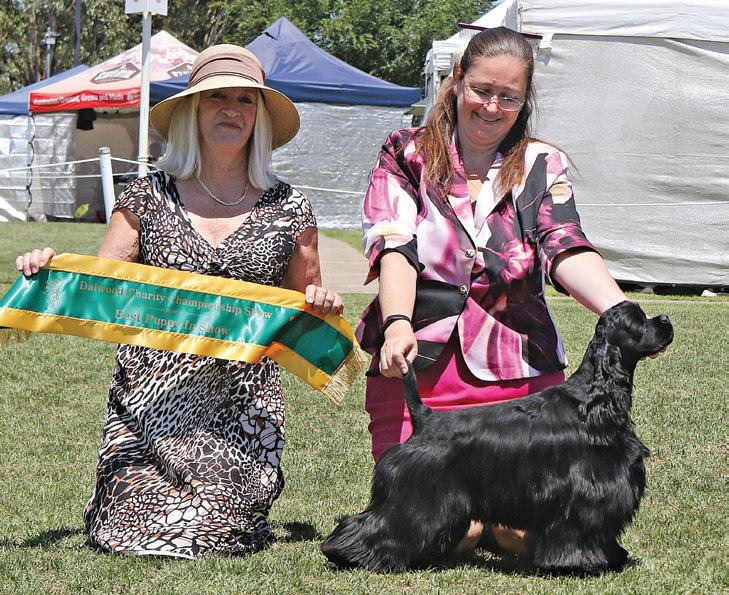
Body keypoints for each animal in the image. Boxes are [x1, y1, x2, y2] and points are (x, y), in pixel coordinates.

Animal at [321, 300, 674, 574]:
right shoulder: (585, 496)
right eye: (638, 321)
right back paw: (347, 555)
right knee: (375, 524)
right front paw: (580, 565)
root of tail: (425, 418)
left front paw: (614, 558)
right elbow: (581, 532)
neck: (594, 398)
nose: (666, 320)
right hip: (412, 497)